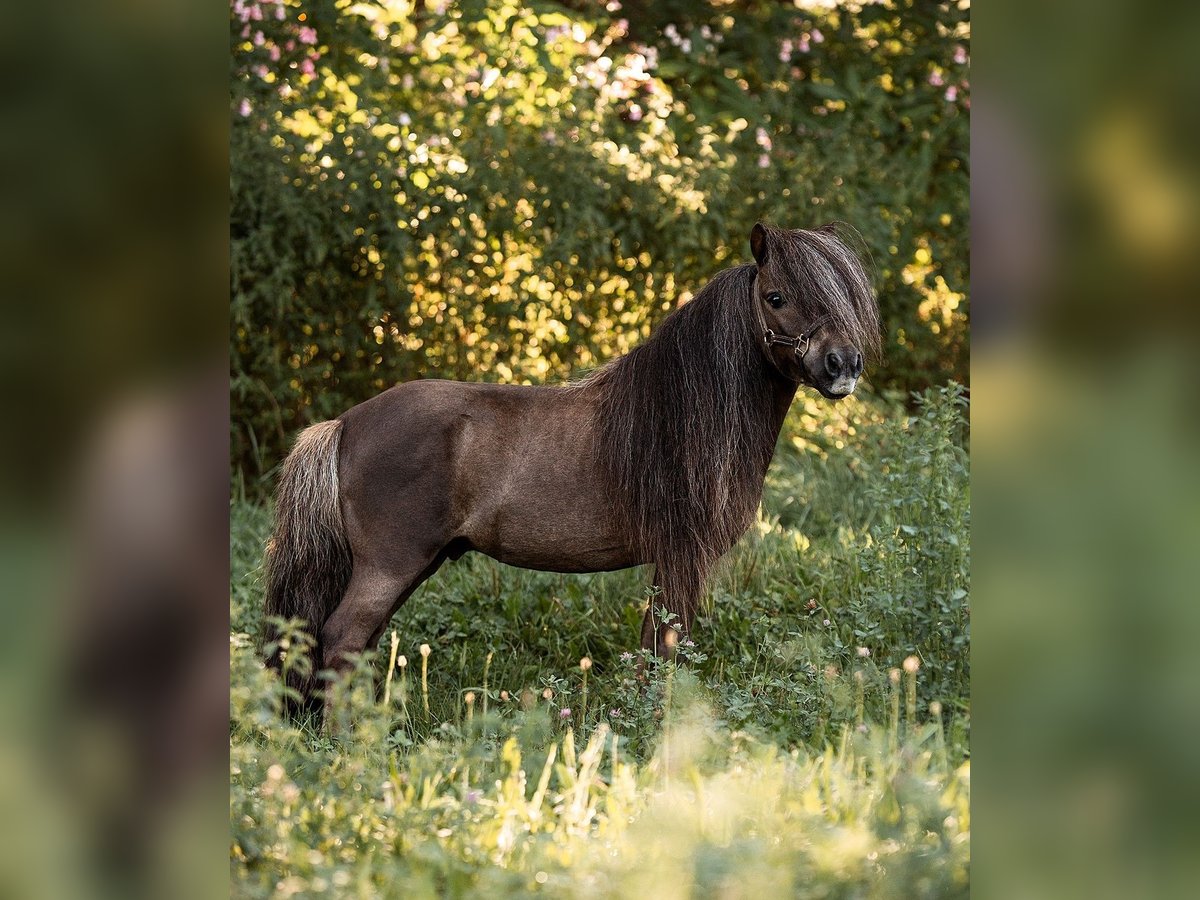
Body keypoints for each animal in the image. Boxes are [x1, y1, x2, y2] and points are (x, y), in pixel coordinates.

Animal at [265, 224, 883, 710]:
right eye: (776, 296)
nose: (842, 365)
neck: (677, 414)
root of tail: (345, 424)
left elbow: (654, 649)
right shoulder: (681, 556)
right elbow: (665, 648)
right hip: (391, 565)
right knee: (342, 642)